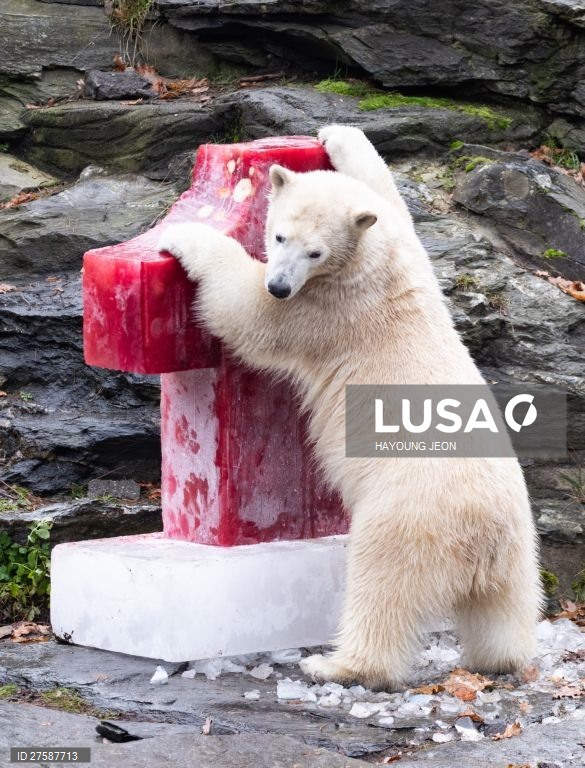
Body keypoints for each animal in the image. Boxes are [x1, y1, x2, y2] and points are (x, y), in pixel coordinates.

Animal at [157, 125, 543, 689]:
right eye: (279, 236)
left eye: (314, 253)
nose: (280, 283)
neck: (371, 265)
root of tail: (483, 535)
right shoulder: (406, 248)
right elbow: (389, 195)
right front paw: (341, 136)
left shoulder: (327, 311)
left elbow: (249, 313)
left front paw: (187, 238)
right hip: (518, 548)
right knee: (504, 608)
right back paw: (501, 657)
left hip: (409, 515)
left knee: (383, 583)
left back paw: (336, 664)